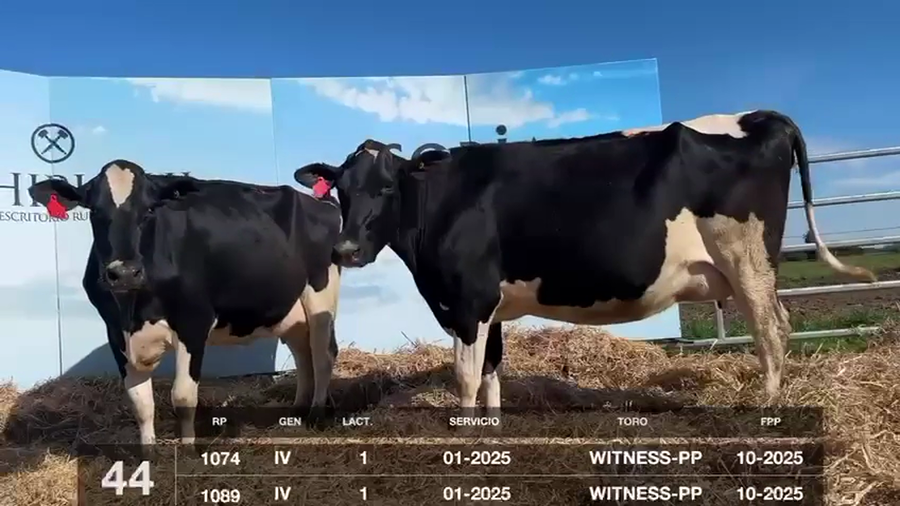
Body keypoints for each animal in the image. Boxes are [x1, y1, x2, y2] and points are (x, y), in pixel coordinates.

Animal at [28, 160, 342, 453]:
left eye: (149, 210)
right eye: (94, 211)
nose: (125, 272)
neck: (135, 310)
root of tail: (320, 200)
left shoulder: (194, 322)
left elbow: (182, 396)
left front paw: (188, 448)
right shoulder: (115, 330)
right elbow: (140, 402)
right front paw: (148, 454)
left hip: (321, 292)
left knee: (323, 353)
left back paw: (316, 414)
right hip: (291, 308)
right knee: (303, 352)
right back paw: (298, 410)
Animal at [293, 110, 876, 421]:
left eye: (387, 187)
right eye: (342, 190)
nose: (346, 250)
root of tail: (760, 116)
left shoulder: (467, 300)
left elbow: (465, 375)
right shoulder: (489, 304)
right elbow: (491, 372)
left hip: (748, 260)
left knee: (772, 331)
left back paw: (767, 408)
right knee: (775, 327)